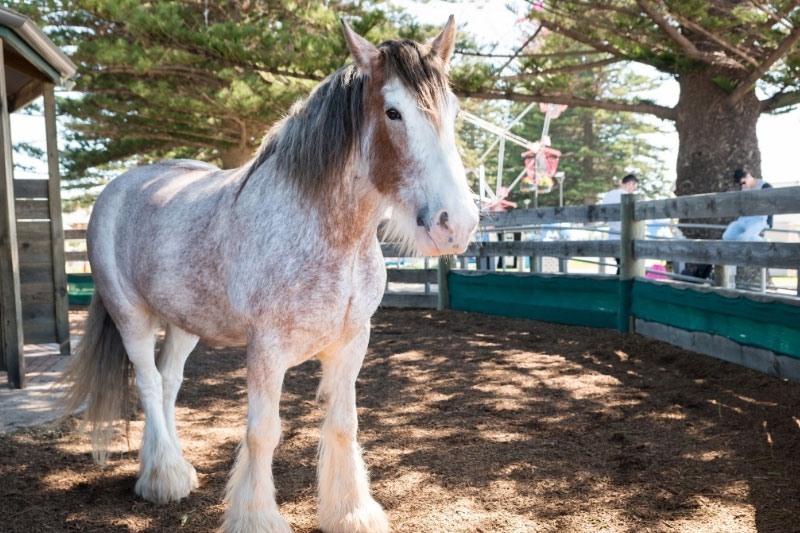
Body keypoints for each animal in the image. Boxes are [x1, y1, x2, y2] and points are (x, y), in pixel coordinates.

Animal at [61, 16, 478, 533]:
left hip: (184, 323)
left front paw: (350, 511)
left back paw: (173, 466)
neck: (326, 232)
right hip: (131, 317)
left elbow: (344, 424)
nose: (455, 224)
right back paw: (163, 478)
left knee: (169, 382)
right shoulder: (266, 350)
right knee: (149, 383)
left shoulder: (352, 343)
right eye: (393, 112)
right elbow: (263, 433)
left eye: (454, 112)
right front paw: (257, 516)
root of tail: (119, 188)